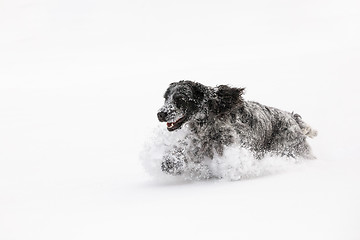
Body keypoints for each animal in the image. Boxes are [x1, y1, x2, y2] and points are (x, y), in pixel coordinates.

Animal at [156, 80, 316, 176]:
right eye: (166, 98)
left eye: (180, 99)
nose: (160, 114)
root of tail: (292, 118)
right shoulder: (198, 144)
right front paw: (169, 163)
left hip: (288, 149)